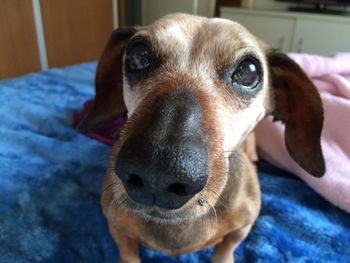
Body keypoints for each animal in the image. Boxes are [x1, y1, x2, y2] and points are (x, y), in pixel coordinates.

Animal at [77, 12, 326, 263]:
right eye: (138, 55)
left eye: (249, 72)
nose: (157, 173)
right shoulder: (116, 227)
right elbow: (127, 251)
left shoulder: (243, 226)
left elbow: (226, 247)